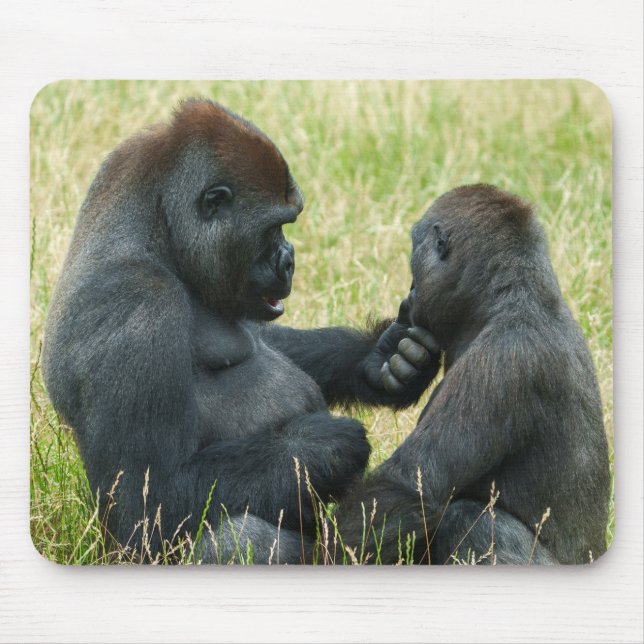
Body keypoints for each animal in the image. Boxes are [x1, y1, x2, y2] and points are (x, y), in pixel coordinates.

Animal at [42, 99, 439, 563]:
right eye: (274, 227)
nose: (289, 259)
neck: (155, 232)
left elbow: (269, 340)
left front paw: (382, 358)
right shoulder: (135, 305)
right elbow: (148, 502)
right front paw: (322, 445)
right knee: (239, 536)